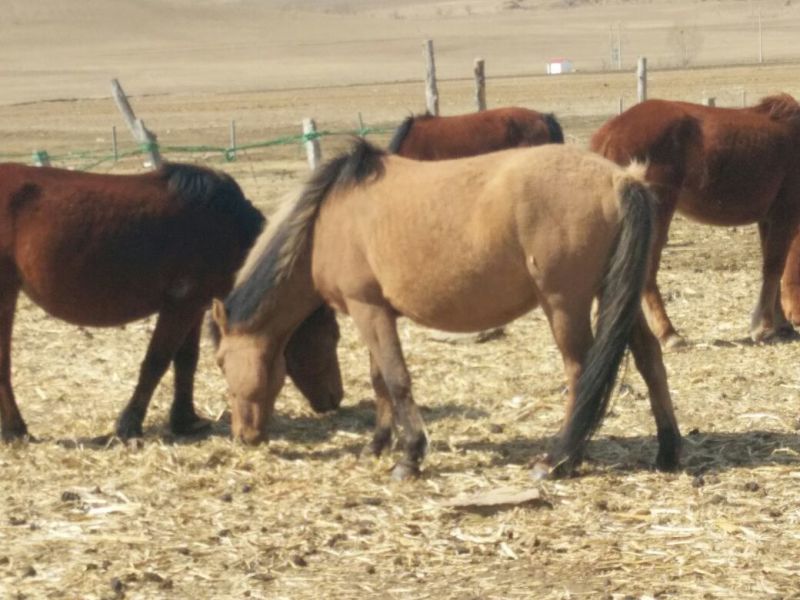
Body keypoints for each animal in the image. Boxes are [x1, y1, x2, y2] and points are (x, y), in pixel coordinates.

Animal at [0, 162, 342, 442]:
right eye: (332, 337)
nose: (336, 398)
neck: (223, 226)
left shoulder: (194, 306)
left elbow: (186, 362)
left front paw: (185, 420)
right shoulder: (179, 306)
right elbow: (157, 362)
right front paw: (129, 425)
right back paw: (16, 430)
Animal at [210, 140, 681, 480]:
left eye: (219, 362)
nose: (242, 436)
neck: (325, 220)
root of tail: (620, 180)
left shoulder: (368, 310)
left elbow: (397, 381)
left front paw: (409, 457)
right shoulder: (376, 312)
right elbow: (380, 382)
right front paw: (377, 445)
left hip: (565, 305)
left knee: (580, 372)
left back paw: (559, 459)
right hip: (617, 295)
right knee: (650, 360)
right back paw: (668, 450)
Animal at [591, 94, 800, 347]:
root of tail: (611, 131)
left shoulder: (768, 219)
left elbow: (772, 268)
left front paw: (780, 324)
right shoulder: (784, 214)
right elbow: (774, 267)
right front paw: (765, 327)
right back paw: (668, 333)